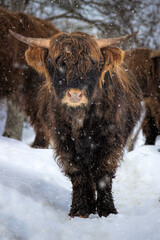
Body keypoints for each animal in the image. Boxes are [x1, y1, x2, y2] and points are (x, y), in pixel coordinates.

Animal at [10, 30, 142, 218]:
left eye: (93, 63)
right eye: (59, 63)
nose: (74, 94)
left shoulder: (111, 140)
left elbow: (103, 173)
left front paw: (107, 211)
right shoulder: (63, 141)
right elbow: (78, 173)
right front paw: (79, 210)